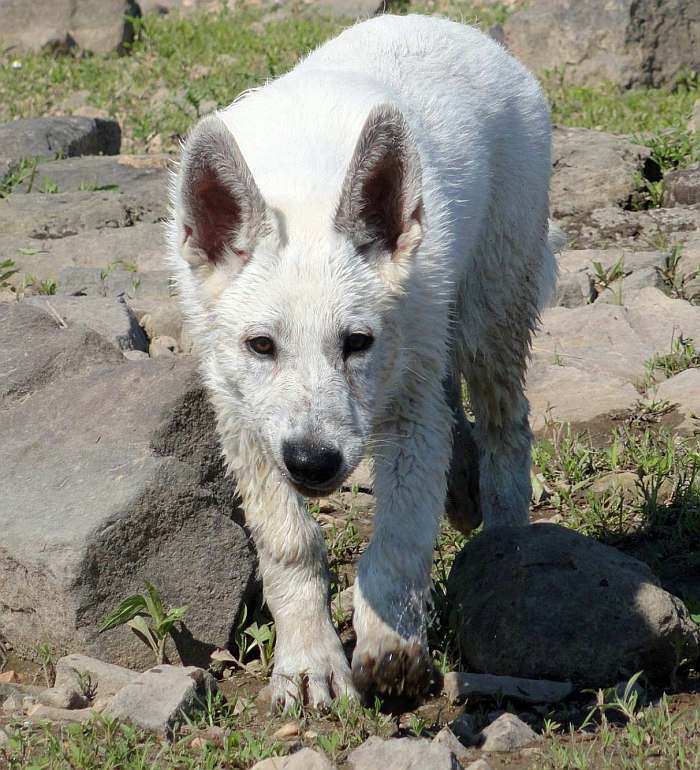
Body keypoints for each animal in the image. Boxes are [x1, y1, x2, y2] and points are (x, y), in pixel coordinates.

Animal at [167, 12, 556, 708]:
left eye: (357, 342)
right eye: (260, 346)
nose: (313, 462)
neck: (303, 189)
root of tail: (450, 24)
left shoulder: (407, 417)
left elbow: (398, 541)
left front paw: (390, 650)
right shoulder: (244, 421)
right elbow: (290, 545)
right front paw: (308, 664)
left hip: (491, 308)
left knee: (506, 423)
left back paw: (504, 543)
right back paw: (463, 491)